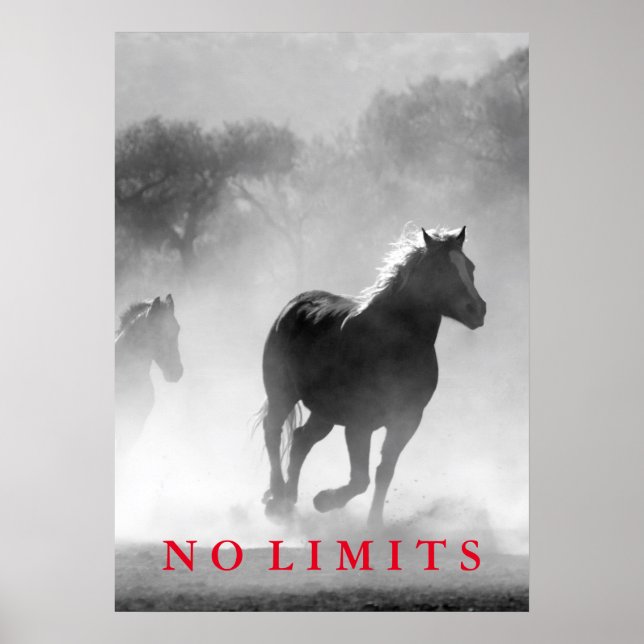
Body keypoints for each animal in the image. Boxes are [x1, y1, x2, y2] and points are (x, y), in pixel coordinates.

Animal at [258, 225, 486, 528]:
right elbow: (360, 479)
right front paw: (324, 501)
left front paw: (374, 523)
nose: (477, 309)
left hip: (324, 412)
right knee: (273, 432)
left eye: (470, 267)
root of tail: (294, 305)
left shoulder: (406, 420)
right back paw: (277, 498)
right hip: (282, 394)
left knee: (301, 439)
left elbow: (384, 472)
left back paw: (288, 500)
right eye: (440, 269)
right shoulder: (359, 423)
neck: (393, 345)